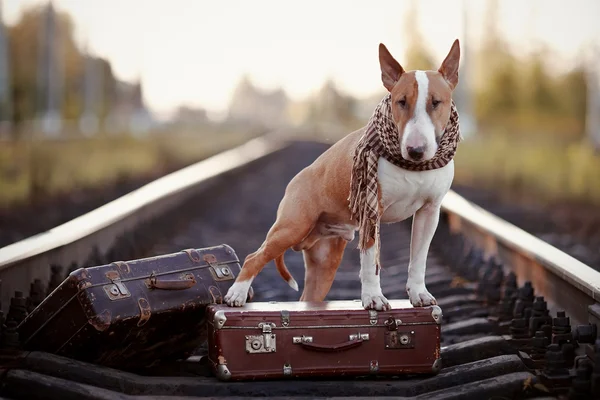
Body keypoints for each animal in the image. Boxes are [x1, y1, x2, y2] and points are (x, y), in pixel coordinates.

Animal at [223, 39, 462, 310]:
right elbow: (369, 262)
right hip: (292, 226)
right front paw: (373, 297)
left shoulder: (429, 212)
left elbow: (419, 259)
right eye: (401, 101)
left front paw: (419, 293)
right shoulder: (371, 211)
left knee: (308, 294)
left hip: (325, 260)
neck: (413, 167)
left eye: (436, 102)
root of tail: (295, 180)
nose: (416, 151)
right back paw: (236, 294)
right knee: (254, 257)